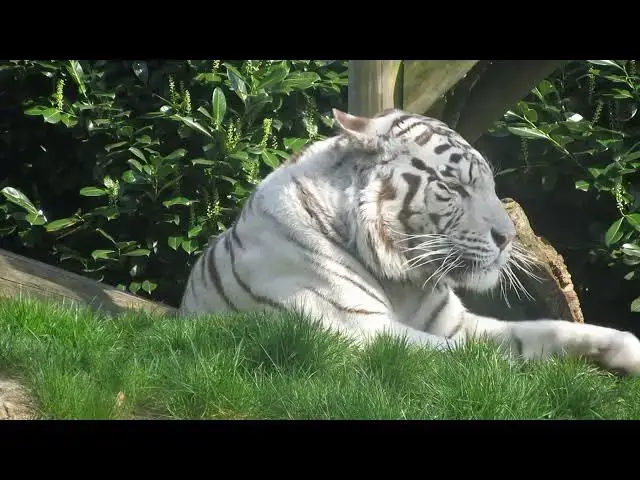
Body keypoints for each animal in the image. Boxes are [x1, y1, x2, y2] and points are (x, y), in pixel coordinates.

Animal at [179, 106, 640, 376]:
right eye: (454, 187)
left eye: (488, 185)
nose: (508, 237)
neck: (402, 280)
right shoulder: (357, 331)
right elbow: (480, 359)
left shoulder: (457, 324)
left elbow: (544, 331)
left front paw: (625, 351)